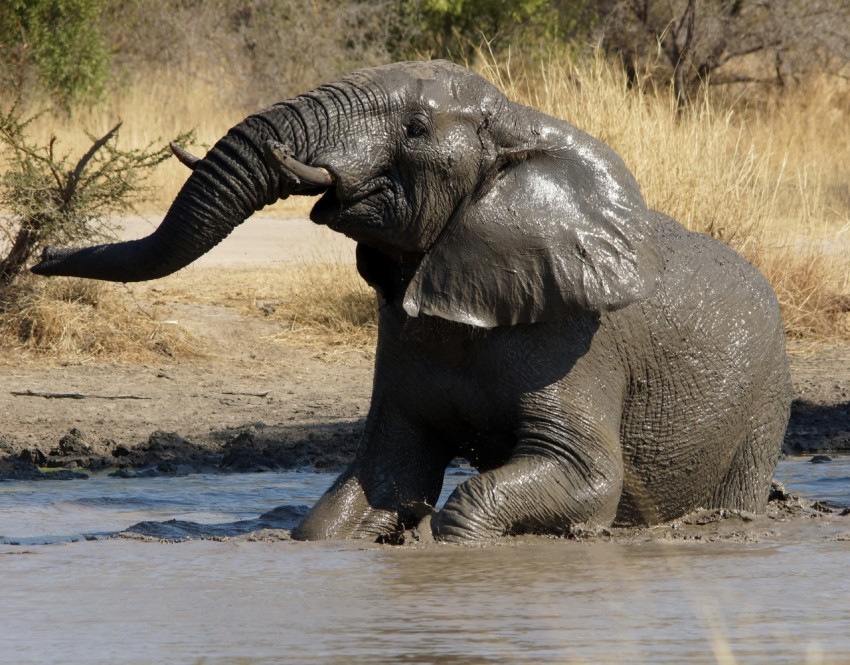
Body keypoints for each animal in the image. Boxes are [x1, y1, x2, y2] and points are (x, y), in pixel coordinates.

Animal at [32, 60, 791, 543]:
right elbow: (373, 481)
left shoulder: (581, 342)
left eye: (417, 128)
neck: (520, 123)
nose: (39, 258)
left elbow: (587, 477)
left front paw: (444, 538)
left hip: (762, 406)